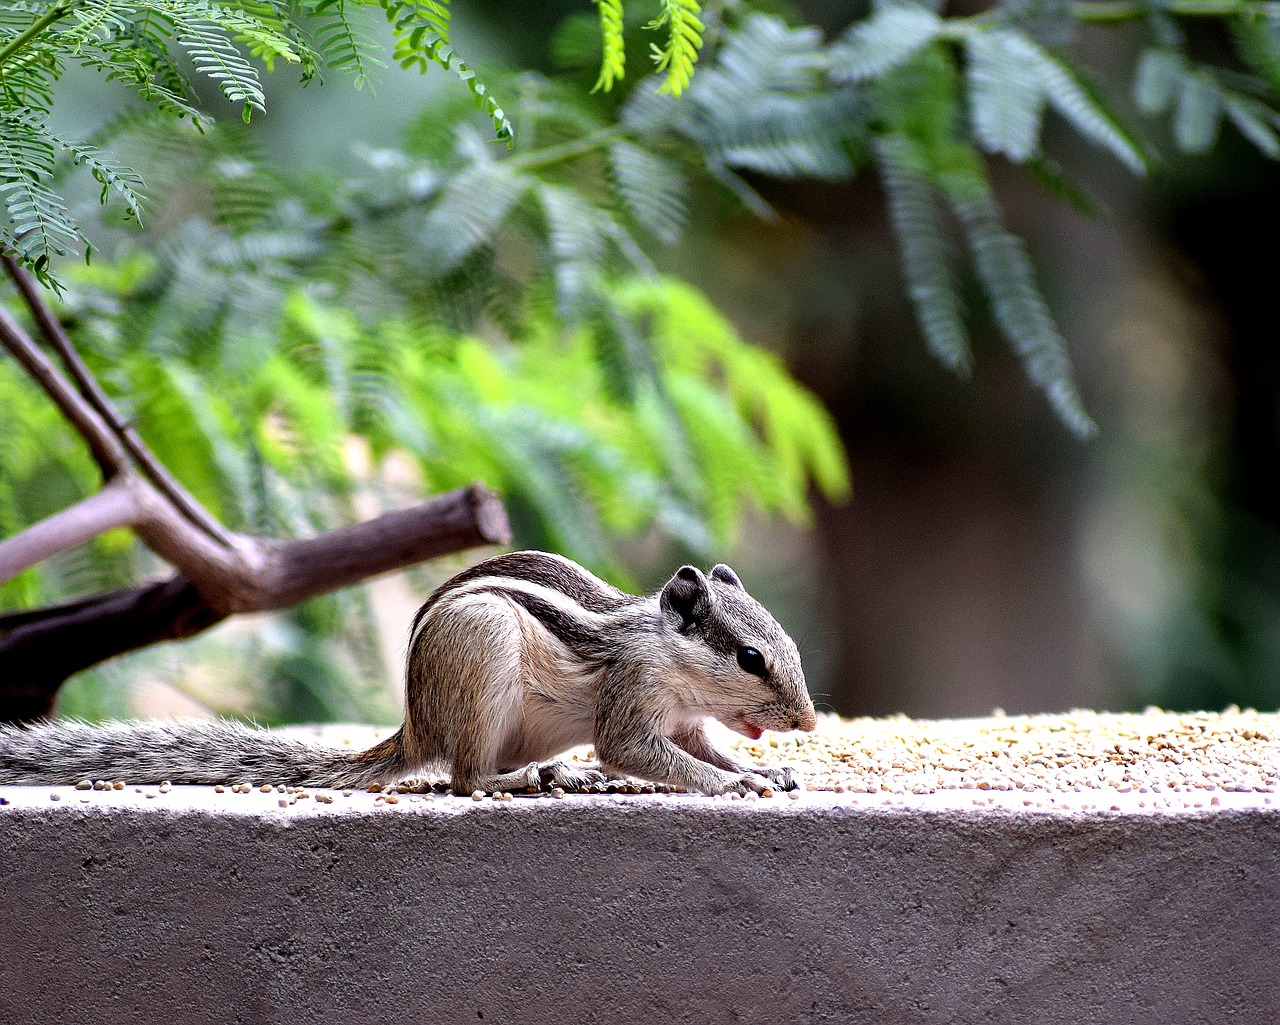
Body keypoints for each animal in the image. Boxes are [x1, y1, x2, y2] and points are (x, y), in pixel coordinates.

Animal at [0, 547, 814, 793]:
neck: (669, 655)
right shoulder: (631, 698)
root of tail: (416, 726)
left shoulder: (686, 718)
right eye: (750, 658)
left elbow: (702, 748)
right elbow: (639, 752)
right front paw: (735, 783)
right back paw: (520, 781)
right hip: (484, 654)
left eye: (789, 649)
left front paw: (765, 771)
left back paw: (560, 774)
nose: (805, 720)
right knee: (464, 776)